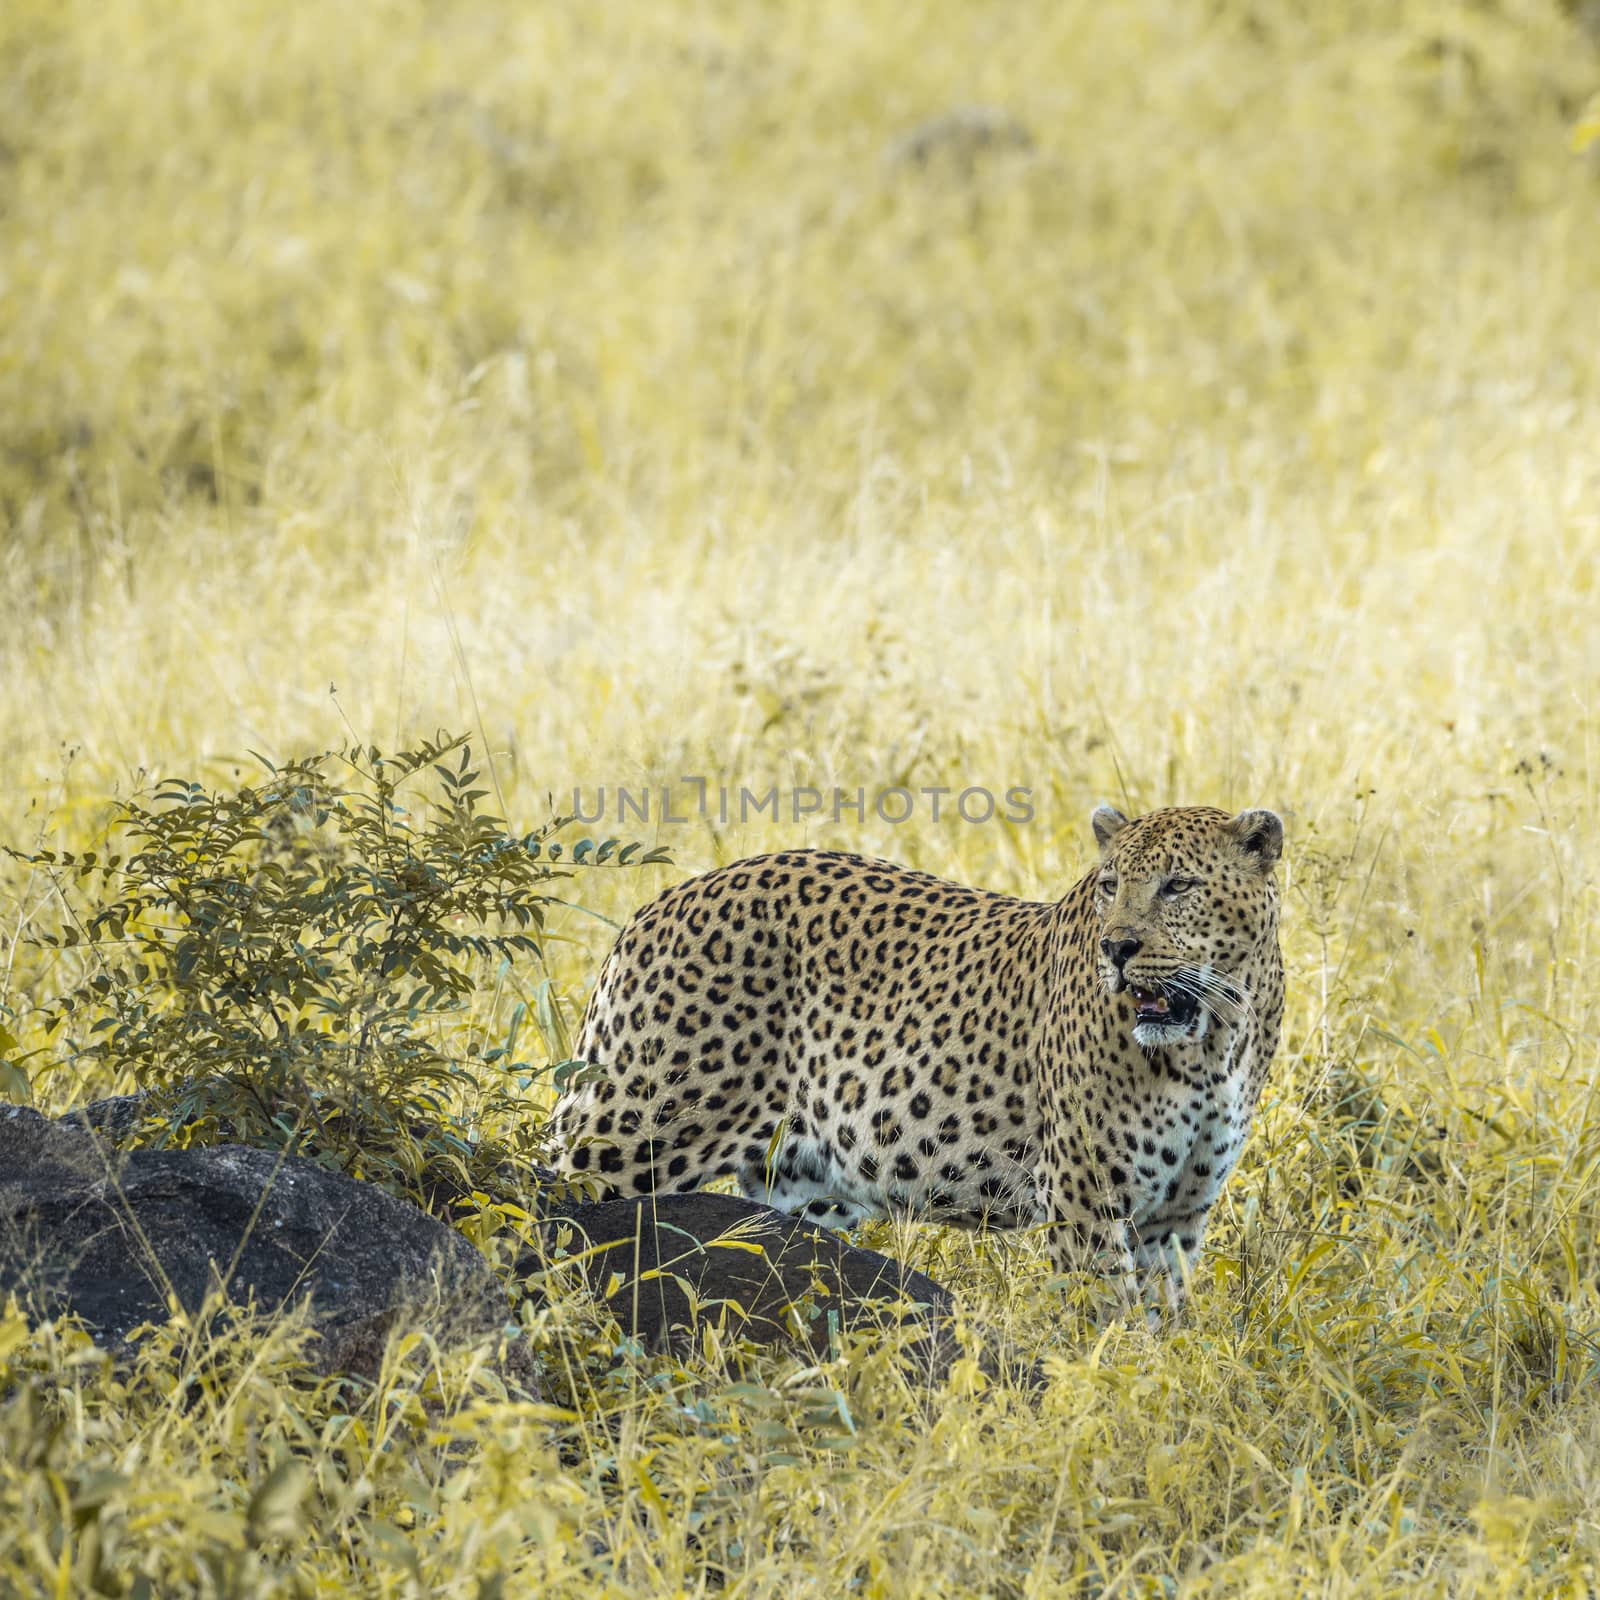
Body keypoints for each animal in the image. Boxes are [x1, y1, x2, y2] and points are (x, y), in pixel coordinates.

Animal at [550, 806, 1286, 1305]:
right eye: (1109, 885)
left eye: (1179, 886)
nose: (1117, 947)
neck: (1214, 1037)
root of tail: (661, 902)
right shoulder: (1086, 1199)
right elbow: (1108, 1320)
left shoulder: (1178, 1216)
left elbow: (1161, 1326)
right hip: (635, 1132)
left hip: (802, 1187)